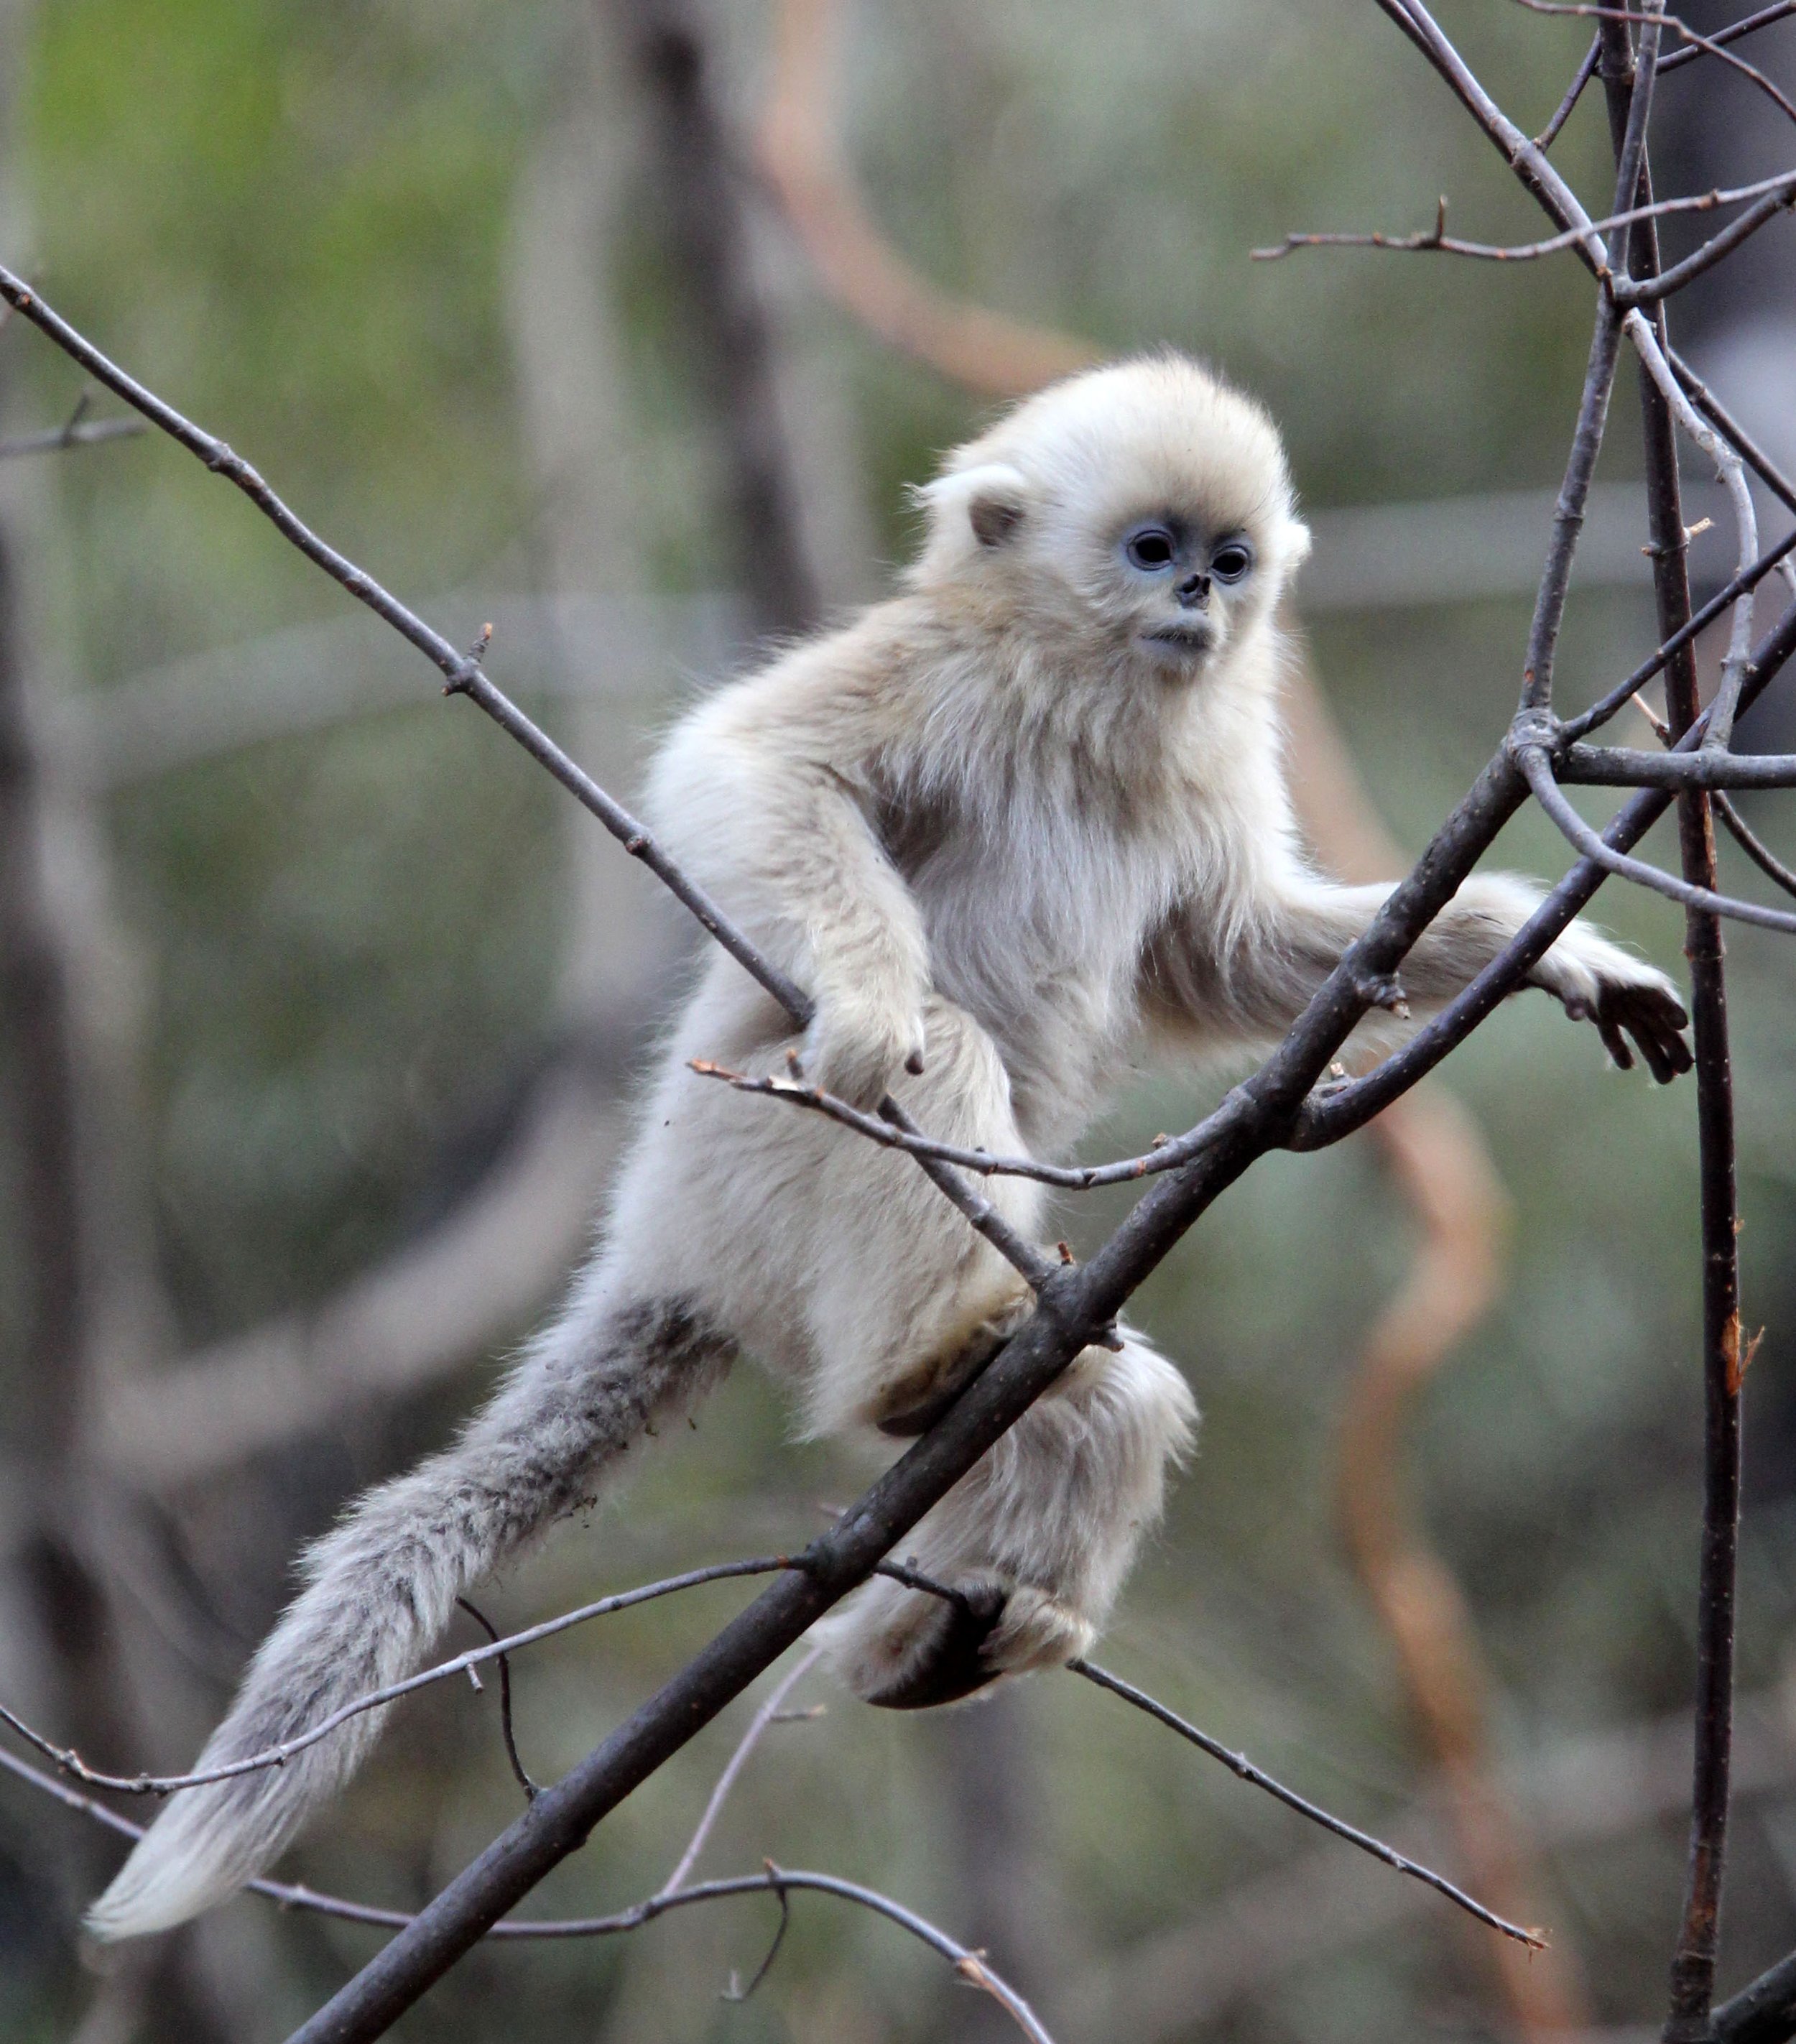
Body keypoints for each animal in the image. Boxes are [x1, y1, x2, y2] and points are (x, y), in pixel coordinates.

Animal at [87, 353, 1692, 1940]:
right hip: (751, 1159)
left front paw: (1564, 958)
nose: (1200, 598)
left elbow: (1224, 954)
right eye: (1148, 549)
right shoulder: (935, 672)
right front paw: (865, 1010)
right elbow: (753, 769)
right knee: (946, 1065)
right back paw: (925, 1354)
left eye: (1229, 560)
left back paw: (927, 1630)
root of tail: (660, 1234)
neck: (1089, 703)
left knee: (1117, 1408)